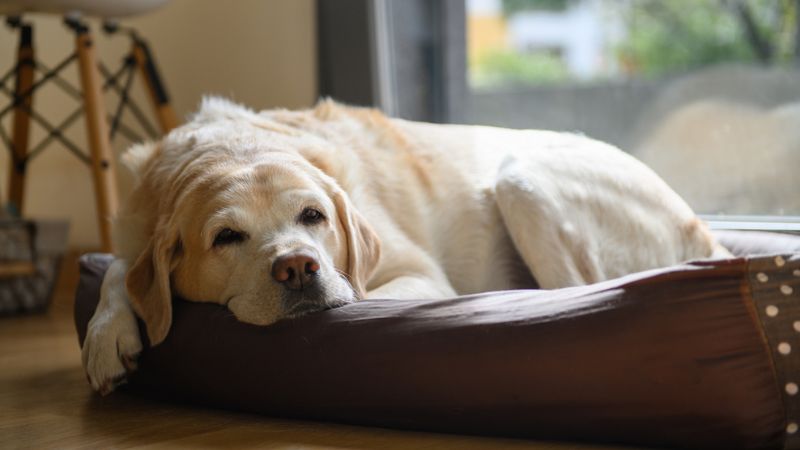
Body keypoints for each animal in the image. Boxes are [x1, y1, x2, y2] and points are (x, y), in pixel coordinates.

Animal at [79, 97, 724, 394]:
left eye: (313, 216)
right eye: (226, 238)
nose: (298, 267)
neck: (234, 145)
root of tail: (708, 234)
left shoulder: (415, 272)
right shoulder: (135, 232)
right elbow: (117, 270)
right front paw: (107, 336)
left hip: (522, 179)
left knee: (581, 291)